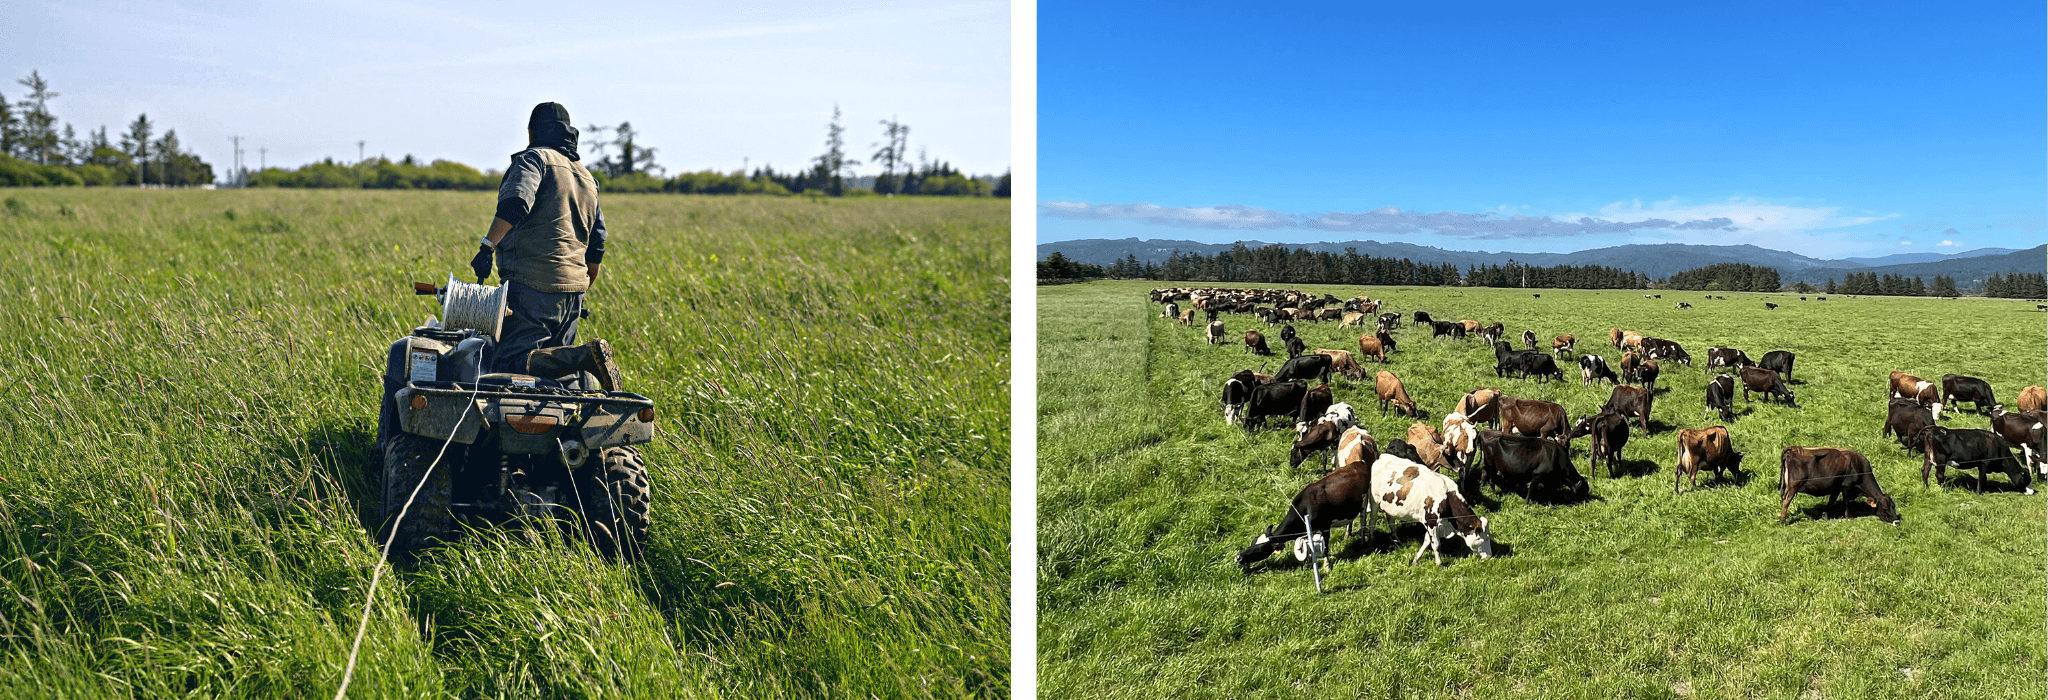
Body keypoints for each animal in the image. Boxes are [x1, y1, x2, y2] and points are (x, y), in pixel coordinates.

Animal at [1368, 450, 1499, 564]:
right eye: (1486, 538)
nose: (1490, 556)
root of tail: (1381, 457)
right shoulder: (1431, 521)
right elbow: (1436, 544)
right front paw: (1439, 564)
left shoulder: (1434, 524)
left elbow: (1427, 542)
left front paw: (1415, 560)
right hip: (1374, 501)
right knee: (1373, 520)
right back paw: (1371, 539)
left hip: (1390, 507)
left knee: (1391, 522)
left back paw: (1397, 540)